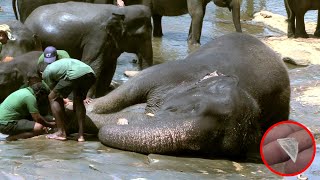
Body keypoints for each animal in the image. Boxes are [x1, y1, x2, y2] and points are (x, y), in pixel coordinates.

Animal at [23, 2, 152, 97]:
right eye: (141, 36)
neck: (121, 11)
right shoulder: (97, 37)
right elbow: (93, 64)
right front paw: (87, 98)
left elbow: (109, 67)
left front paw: (100, 96)